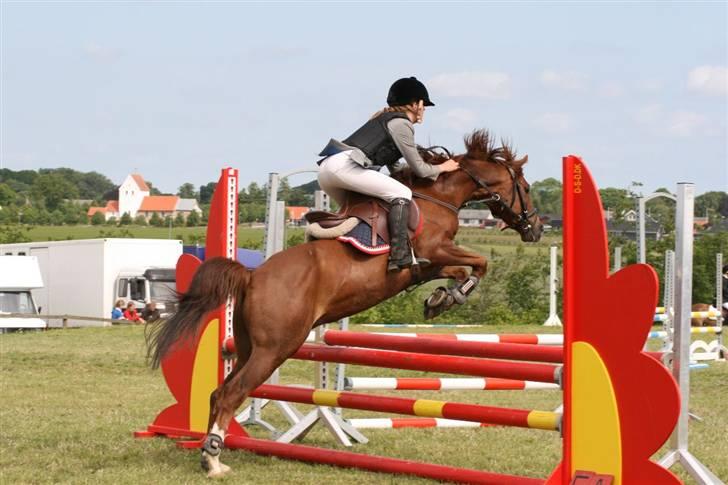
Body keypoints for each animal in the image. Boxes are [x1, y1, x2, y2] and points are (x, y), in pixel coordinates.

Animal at [146, 129, 543, 477]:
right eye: (524, 188)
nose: (537, 229)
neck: (437, 196)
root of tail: (251, 275)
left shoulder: (431, 264)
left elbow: (465, 268)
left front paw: (439, 298)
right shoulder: (434, 251)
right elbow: (480, 262)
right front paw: (450, 297)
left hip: (247, 347)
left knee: (219, 393)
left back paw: (212, 450)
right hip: (274, 348)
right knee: (231, 394)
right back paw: (212, 461)